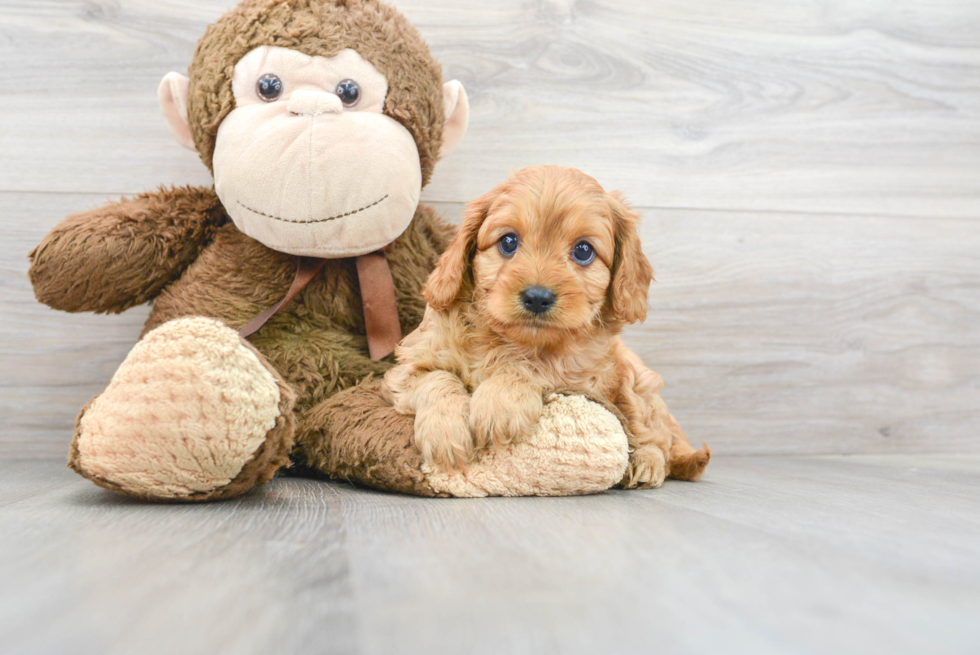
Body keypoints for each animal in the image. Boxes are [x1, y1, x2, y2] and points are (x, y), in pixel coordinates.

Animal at [378, 167, 708, 490]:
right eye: (508, 242)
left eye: (583, 250)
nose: (537, 297)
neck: (509, 341)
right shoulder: (407, 368)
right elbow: (435, 378)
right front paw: (445, 432)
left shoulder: (584, 371)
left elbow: (540, 365)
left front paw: (501, 400)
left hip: (636, 379)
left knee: (656, 437)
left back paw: (646, 463)